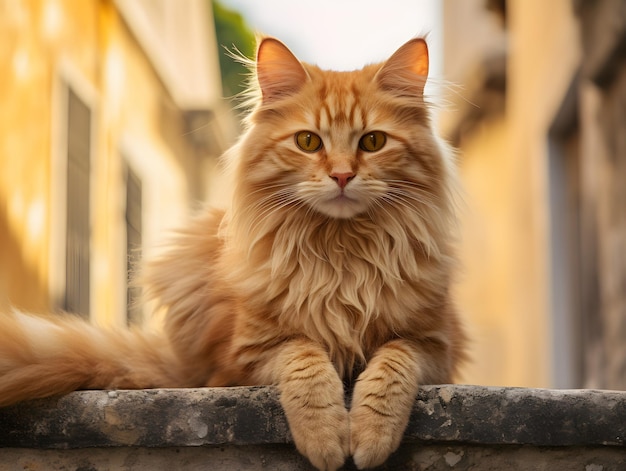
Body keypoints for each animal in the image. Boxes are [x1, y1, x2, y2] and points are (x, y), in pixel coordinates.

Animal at [0, 37, 464, 471]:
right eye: (308, 141)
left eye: (372, 141)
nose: (342, 175)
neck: (339, 254)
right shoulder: (244, 355)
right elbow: (305, 358)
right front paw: (325, 436)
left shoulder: (436, 347)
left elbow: (392, 365)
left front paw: (371, 436)